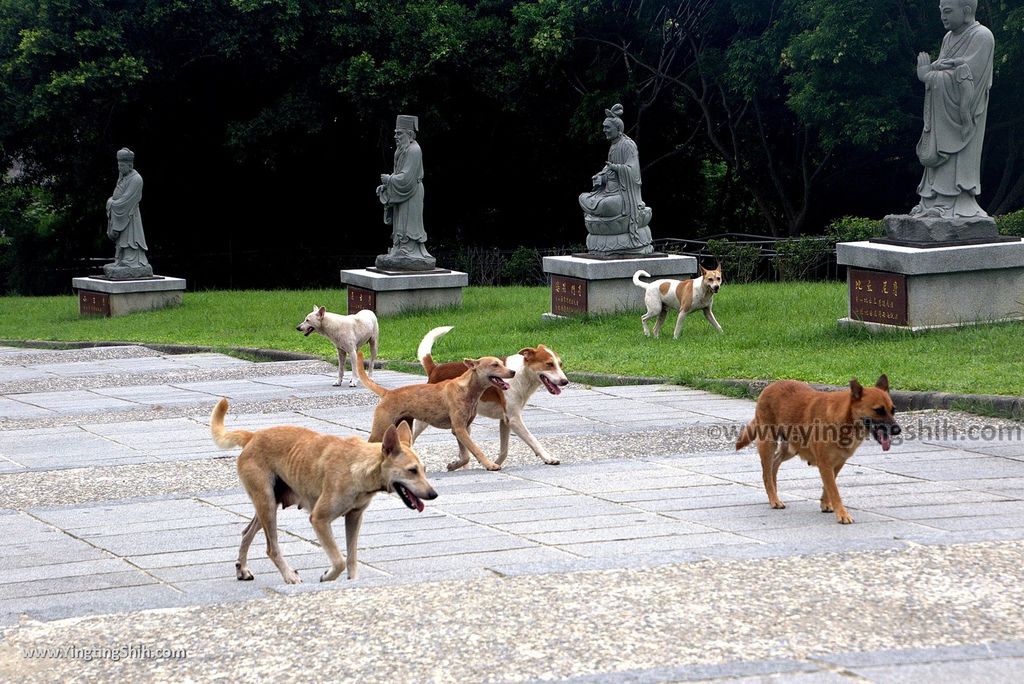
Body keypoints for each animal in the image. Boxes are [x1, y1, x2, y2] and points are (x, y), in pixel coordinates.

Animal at [211, 397, 436, 585]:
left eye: (424, 470)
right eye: (412, 470)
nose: (434, 494)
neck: (358, 466)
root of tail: (253, 436)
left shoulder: (354, 517)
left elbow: (352, 557)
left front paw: (352, 582)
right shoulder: (319, 519)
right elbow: (339, 561)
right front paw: (328, 576)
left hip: (269, 503)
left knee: (246, 532)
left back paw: (242, 568)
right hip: (266, 503)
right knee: (271, 548)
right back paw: (289, 576)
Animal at [411, 325, 569, 464]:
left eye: (560, 364)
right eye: (549, 364)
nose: (565, 381)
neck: (522, 374)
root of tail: (435, 369)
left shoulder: (505, 421)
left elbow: (504, 450)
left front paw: (496, 463)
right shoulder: (514, 419)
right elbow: (533, 440)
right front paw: (548, 458)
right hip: (424, 420)